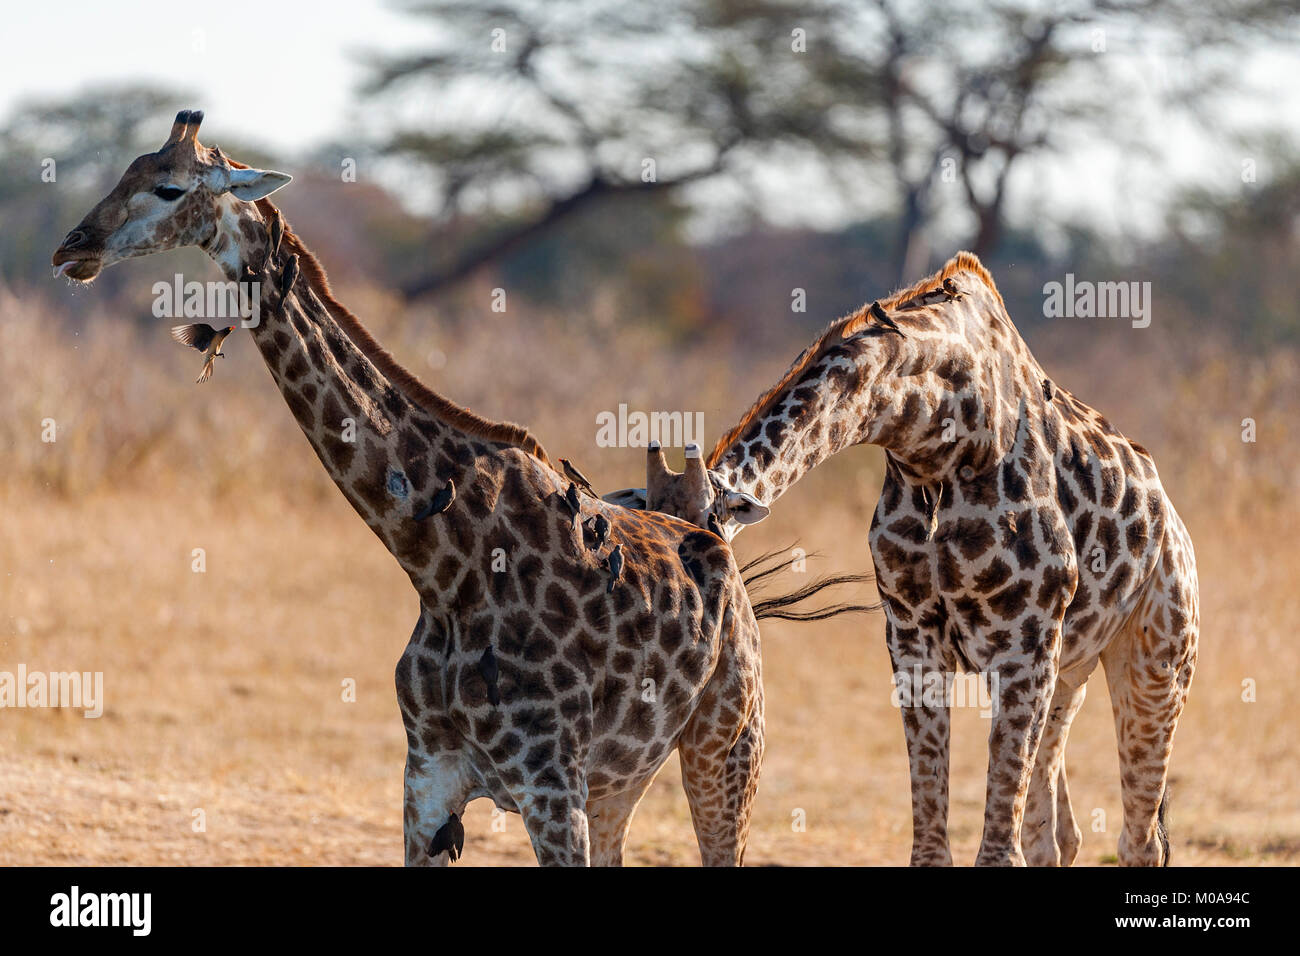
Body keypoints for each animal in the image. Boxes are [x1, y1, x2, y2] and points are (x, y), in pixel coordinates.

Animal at [51, 110, 770, 867]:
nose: (72, 251)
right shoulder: (428, 776)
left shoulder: (550, 784)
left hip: (725, 745)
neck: (441, 564)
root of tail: (716, 540)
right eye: (125, 170)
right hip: (620, 782)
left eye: (168, 186)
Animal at [606, 253, 1199, 866]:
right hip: (1070, 674)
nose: (679, 642)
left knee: (1140, 837)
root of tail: (1171, 523)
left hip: (1157, 661)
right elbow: (936, 839)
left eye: (706, 549)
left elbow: (997, 849)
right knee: (1057, 835)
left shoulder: (1024, 645)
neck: (933, 439)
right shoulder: (913, 637)